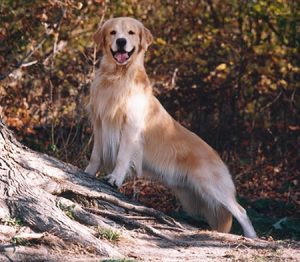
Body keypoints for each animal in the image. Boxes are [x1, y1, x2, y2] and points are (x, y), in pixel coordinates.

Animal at [85, 15, 256, 237]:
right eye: (113, 32)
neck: (118, 77)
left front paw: (115, 178)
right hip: (195, 198)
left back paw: (252, 237)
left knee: (241, 210)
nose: (121, 41)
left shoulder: (130, 127)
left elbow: (122, 156)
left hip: (211, 186)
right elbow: (95, 154)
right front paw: (88, 172)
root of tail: (218, 157)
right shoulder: (99, 123)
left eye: (130, 33)